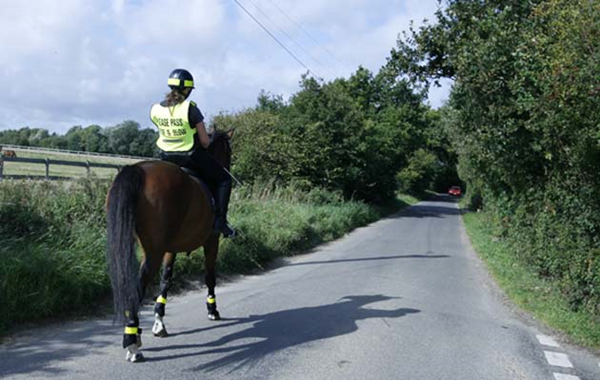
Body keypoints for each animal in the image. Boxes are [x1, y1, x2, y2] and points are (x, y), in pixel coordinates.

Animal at [105, 128, 232, 362]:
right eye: (228, 151)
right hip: (153, 252)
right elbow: (210, 277)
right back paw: (132, 341)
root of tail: (138, 170)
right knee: (138, 286)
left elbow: (166, 279)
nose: (228, 168)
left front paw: (159, 321)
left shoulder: (170, 247)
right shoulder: (212, 241)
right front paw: (212, 310)